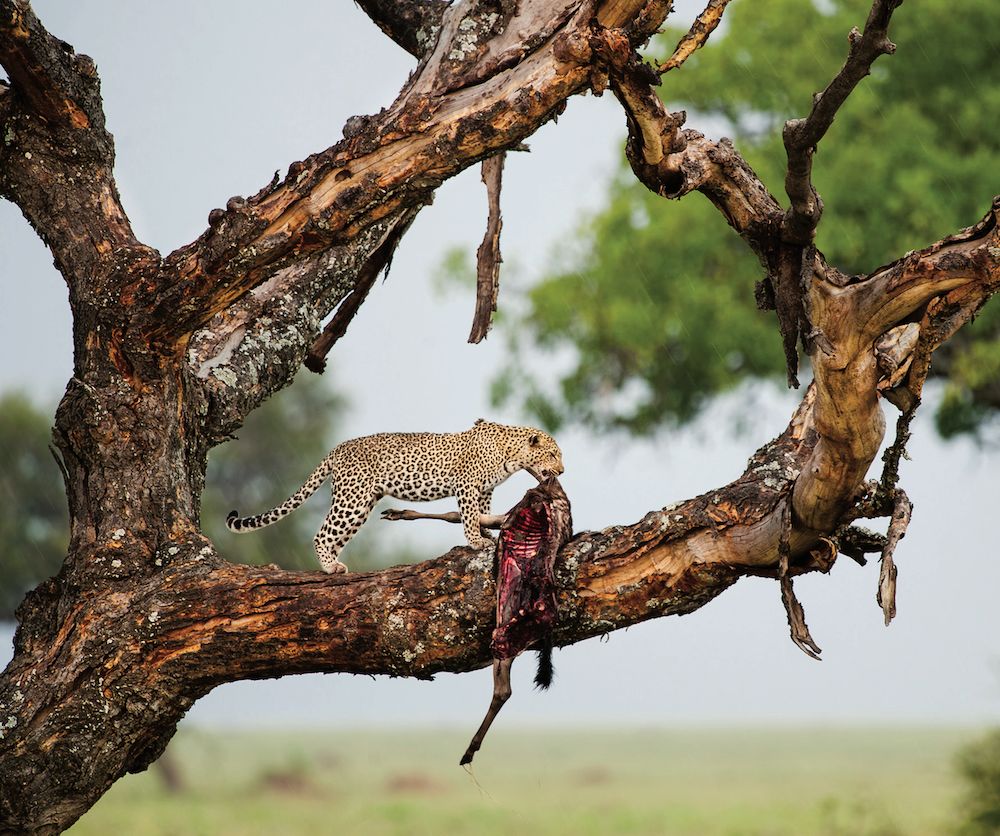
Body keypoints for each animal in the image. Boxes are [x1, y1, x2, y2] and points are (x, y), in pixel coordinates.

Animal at [229, 422, 568, 572]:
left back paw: (335, 565)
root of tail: (337, 449)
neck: (512, 455)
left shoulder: (484, 489)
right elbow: (469, 515)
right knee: (322, 534)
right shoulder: (467, 485)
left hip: (362, 504)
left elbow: (481, 512)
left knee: (335, 536)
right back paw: (329, 566)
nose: (563, 470)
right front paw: (477, 541)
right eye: (553, 454)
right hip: (352, 499)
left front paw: (486, 534)